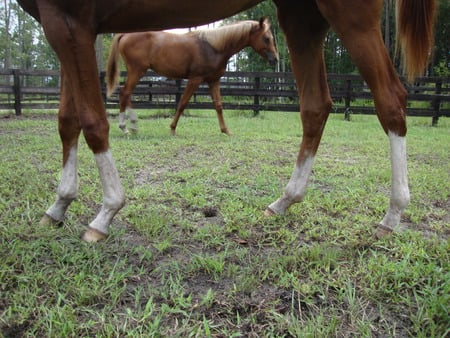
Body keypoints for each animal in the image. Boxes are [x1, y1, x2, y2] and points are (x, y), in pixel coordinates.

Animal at [108, 18, 278, 135]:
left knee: (126, 94)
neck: (213, 47)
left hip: (136, 72)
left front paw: (225, 130)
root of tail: (125, 34)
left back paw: (132, 125)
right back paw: (124, 127)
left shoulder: (213, 81)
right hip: (137, 71)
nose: (275, 60)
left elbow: (218, 106)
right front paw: (172, 128)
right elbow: (182, 103)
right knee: (125, 93)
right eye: (267, 38)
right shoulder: (195, 80)